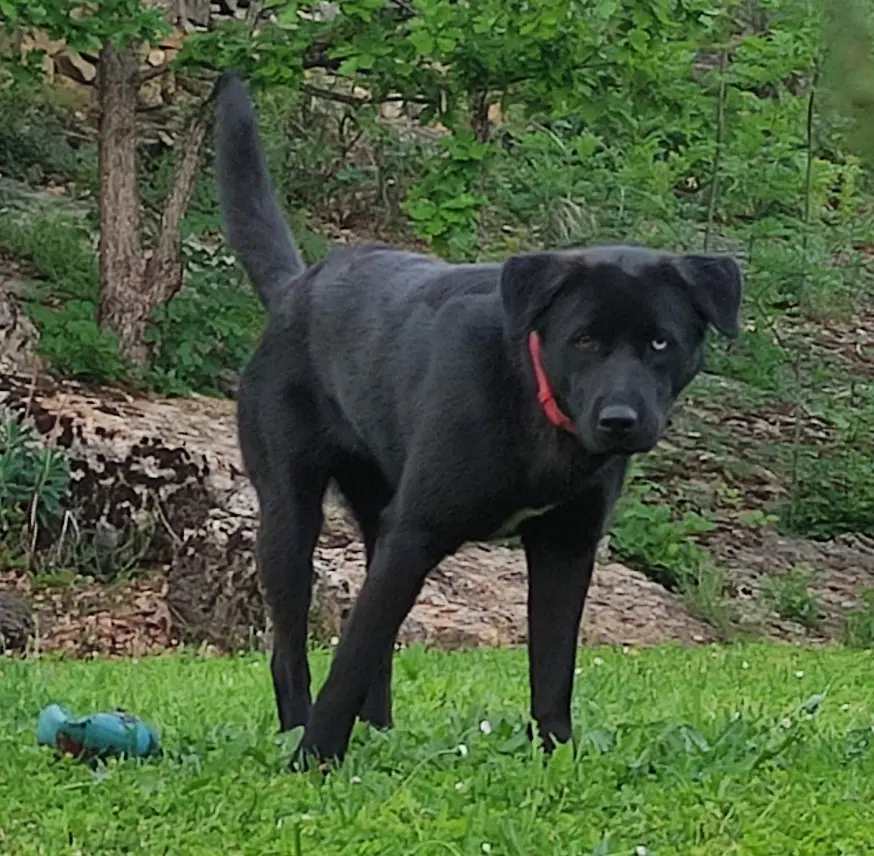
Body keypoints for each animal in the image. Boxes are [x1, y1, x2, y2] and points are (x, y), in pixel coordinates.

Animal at [213, 72, 744, 768]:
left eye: (661, 342)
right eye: (583, 340)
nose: (620, 421)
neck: (535, 407)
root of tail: (294, 287)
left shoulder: (565, 546)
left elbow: (551, 670)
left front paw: (556, 756)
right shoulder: (415, 533)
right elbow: (347, 663)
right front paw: (315, 760)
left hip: (376, 513)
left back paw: (380, 735)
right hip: (290, 513)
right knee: (292, 652)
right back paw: (301, 731)